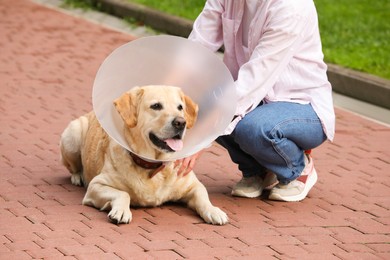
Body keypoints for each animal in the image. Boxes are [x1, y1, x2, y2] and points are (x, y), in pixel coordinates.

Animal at [60, 84, 229, 224]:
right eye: (156, 106)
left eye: (180, 107)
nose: (181, 122)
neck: (153, 164)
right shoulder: (96, 185)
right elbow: (123, 193)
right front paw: (121, 211)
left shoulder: (193, 185)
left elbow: (203, 196)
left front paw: (214, 211)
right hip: (73, 133)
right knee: (73, 167)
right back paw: (77, 176)